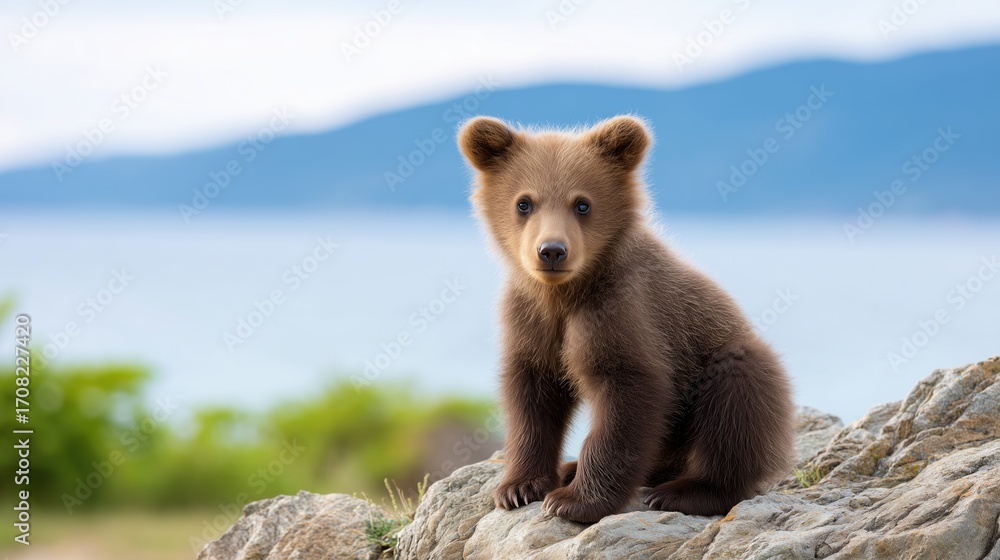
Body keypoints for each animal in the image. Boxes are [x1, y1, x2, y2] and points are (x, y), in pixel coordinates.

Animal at [457, 115, 795, 523]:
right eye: (524, 202)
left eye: (582, 204)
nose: (551, 250)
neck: (565, 294)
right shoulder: (529, 319)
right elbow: (531, 400)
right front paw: (519, 487)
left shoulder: (621, 311)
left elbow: (627, 395)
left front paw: (573, 500)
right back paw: (573, 468)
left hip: (732, 365)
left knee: (733, 408)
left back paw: (683, 492)